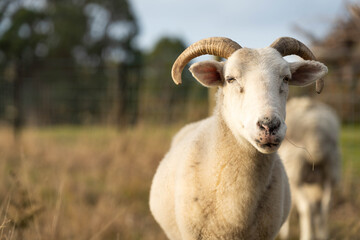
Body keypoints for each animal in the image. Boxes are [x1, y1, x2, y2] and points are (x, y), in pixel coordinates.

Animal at [278, 96, 340, 240]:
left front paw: (284, 232)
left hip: (295, 172)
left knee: (306, 206)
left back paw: (306, 235)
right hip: (330, 169)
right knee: (324, 205)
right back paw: (323, 235)